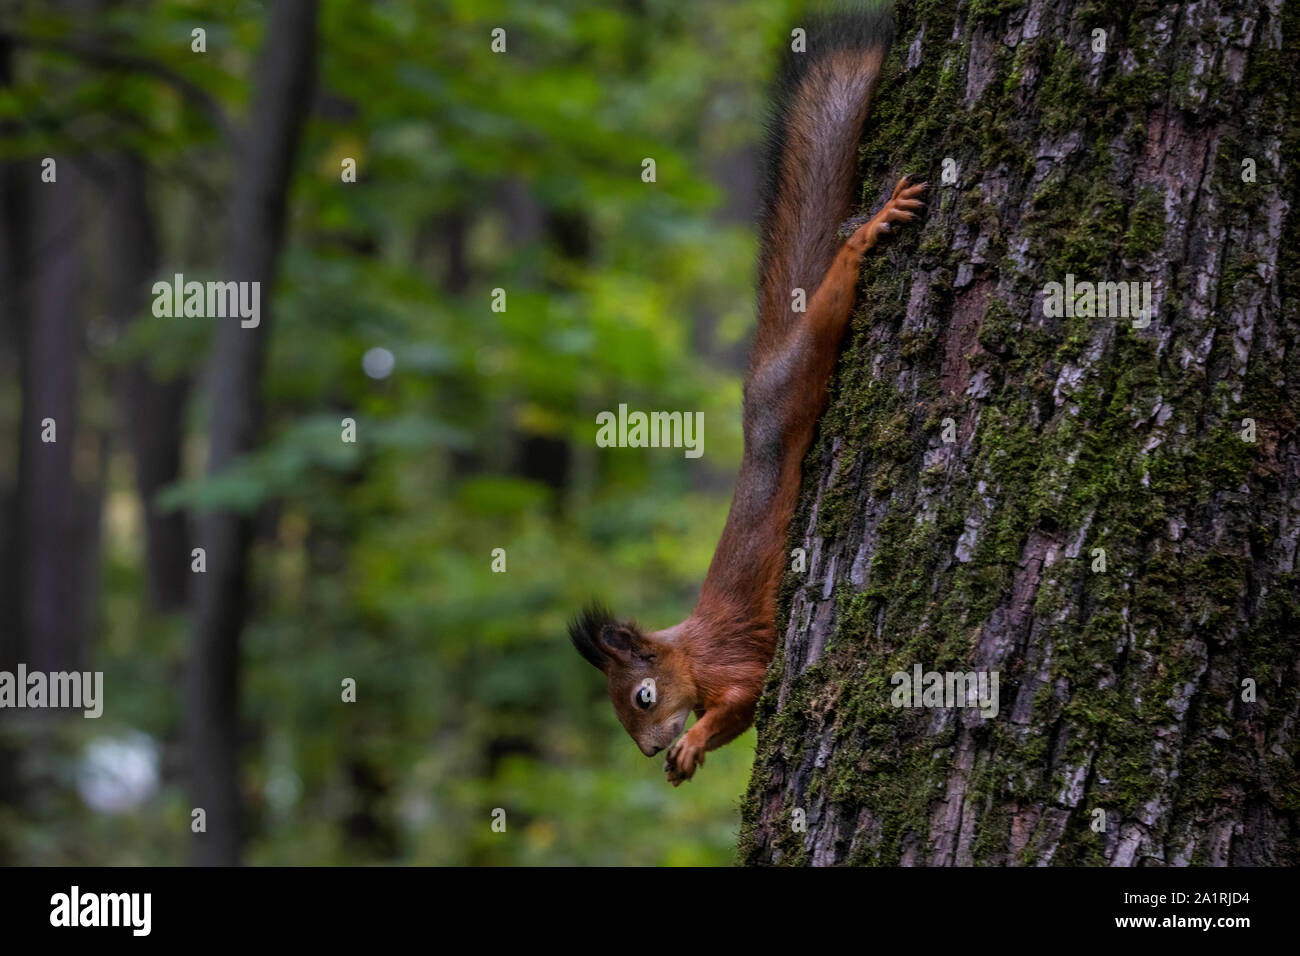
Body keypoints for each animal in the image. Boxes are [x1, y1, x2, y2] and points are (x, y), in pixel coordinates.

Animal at [570, 4, 925, 786]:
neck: (688, 650)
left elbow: (743, 700)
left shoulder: (733, 666)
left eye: (642, 697)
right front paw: (685, 758)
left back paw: (868, 234)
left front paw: (692, 743)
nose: (648, 751)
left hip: (796, 378)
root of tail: (756, 390)